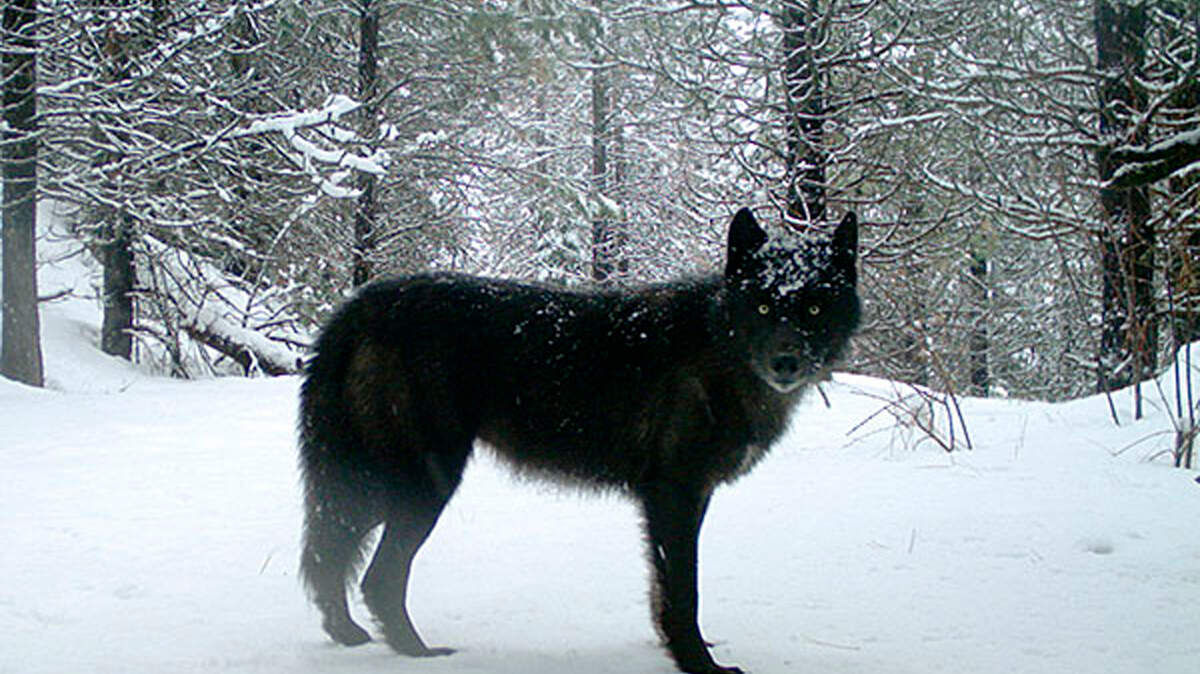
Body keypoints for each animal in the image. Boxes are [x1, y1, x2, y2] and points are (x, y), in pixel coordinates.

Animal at [297, 207, 860, 674]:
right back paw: (417, 652)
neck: (719, 347)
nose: (785, 361)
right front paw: (699, 665)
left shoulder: (683, 499)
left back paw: (348, 634)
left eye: (814, 309)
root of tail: (360, 306)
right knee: (375, 575)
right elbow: (684, 591)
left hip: (377, 484)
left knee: (330, 554)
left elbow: (662, 591)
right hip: (421, 485)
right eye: (763, 306)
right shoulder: (674, 495)